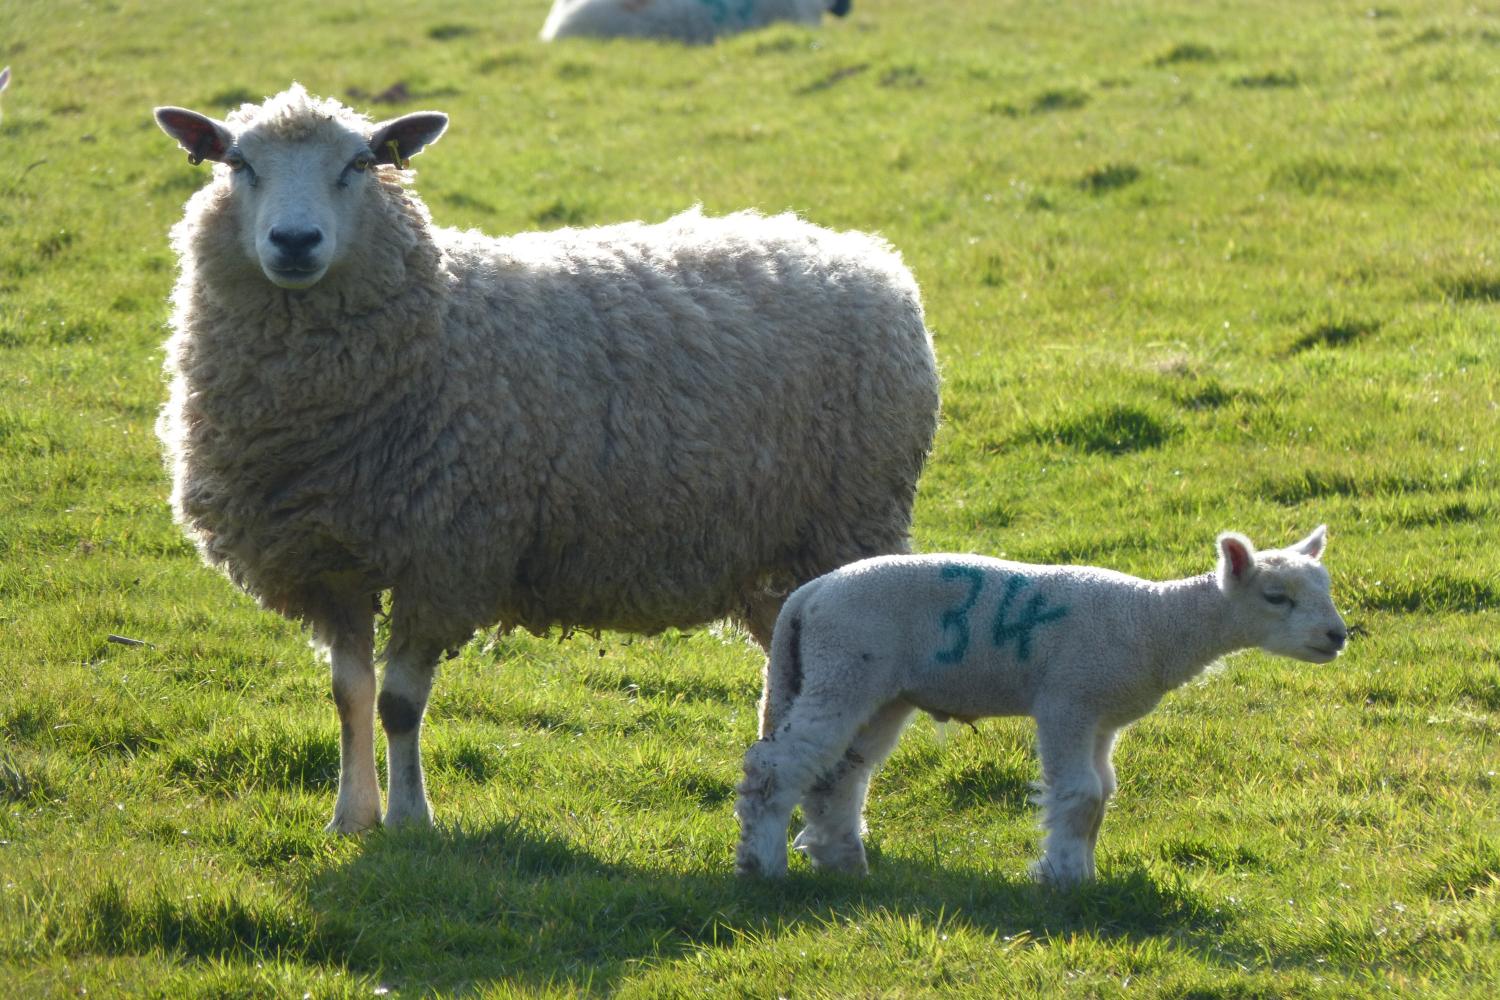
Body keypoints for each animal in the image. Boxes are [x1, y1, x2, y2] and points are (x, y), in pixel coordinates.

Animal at [149, 86, 936, 839]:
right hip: (778, 556)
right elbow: (350, 697)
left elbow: (400, 704)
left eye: (361, 163)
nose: (295, 241)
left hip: (843, 527)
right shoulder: (330, 561)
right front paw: (351, 817)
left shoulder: (447, 553)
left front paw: (409, 821)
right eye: (238, 163)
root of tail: (866, 257)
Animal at [738, 524, 1350, 881]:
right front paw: (1063, 880)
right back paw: (763, 866)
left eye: (1326, 590)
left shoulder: (1102, 717)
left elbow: (1101, 796)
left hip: (878, 688)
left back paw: (843, 861)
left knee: (839, 774)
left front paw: (1083, 874)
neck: (1155, 623)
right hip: (843, 668)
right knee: (776, 767)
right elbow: (1079, 796)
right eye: (1276, 597)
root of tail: (809, 595)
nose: (1337, 636)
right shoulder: (1068, 700)